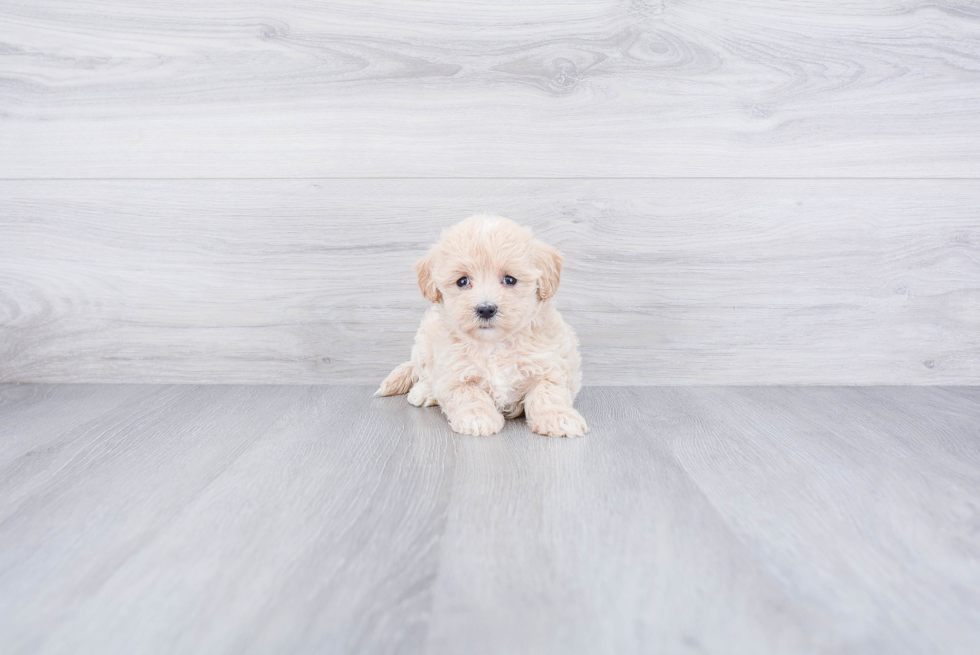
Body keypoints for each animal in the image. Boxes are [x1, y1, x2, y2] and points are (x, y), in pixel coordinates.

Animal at [378, 217, 584, 440]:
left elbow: (548, 393)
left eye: (510, 279)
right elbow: (468, 393)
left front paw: (558, 417)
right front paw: (477, 417)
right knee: (424, 373)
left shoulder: (549, 365)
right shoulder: (455, 372)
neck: (494, 344)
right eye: (462, 281)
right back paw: (424, 391)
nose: (486, 309)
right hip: (424, 342)